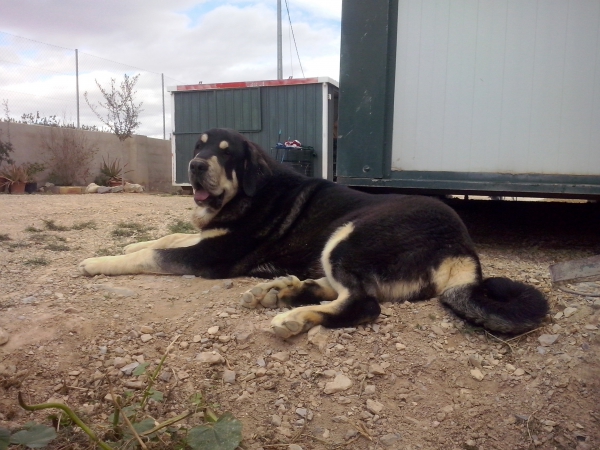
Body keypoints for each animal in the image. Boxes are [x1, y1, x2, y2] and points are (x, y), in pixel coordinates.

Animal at [79, 126, 548, 338]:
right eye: (200, 146)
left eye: (226, 154)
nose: (194, 166)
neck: (246, 193)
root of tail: (462, 246)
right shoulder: (205, 238)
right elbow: (166, 238)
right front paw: (131, 241)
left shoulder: (209, 257)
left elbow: (155, 254)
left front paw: (99, 260)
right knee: (340, 289)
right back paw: (281, 290)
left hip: (347, 236)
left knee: (362, 303)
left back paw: (292, 313)